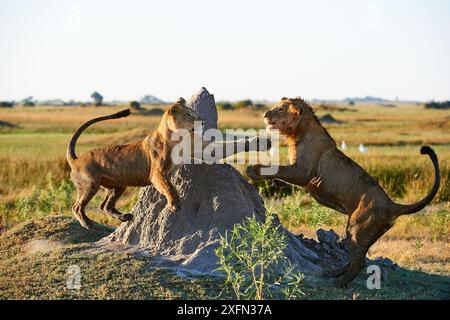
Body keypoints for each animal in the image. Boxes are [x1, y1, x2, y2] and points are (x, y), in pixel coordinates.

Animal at [246, 97, 440, 288]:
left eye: (280, 109)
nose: (264, 114)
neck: (298, 132)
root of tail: (392, 205)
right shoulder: (298, 171)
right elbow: (280, 172)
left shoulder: (303, 172)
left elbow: (277, 169)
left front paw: (252, 170)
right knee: (358, 258)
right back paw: (333, 272)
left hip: (357, 226)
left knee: (360, 262)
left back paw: (337, 281)